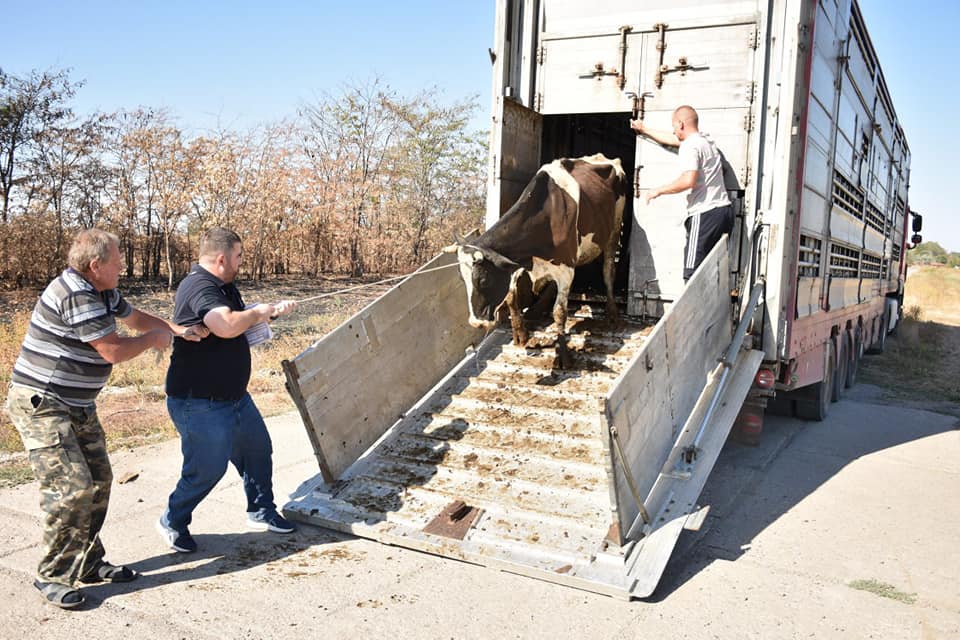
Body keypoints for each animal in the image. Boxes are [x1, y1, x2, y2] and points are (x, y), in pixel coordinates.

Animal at [446, 151, 628, 360]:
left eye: (483, 280)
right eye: (463, 279)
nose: (476, 323)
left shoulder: (566, 269)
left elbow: (560, 312)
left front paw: (562, 356)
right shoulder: (516, 262)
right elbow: (511, 296)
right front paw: (520, 334)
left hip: (614, 228)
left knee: (608, 270)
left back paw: (612, 313)